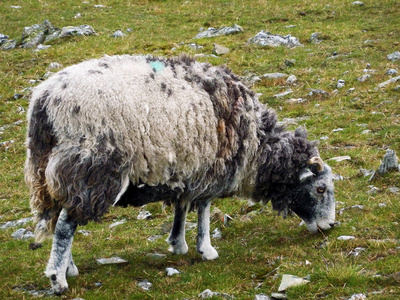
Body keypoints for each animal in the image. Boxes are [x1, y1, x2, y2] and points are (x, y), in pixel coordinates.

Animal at [25, 54, 336, 296]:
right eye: (320, 189)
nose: (331, 226)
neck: (256, 145)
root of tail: (44, 102)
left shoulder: (188, 171)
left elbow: (182, 206)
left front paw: (178, 243)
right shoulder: (210, 171)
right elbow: (204, 209)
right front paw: (206, 249)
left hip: (56, 172)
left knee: (60, 216)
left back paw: (69, 267)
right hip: (92, 167)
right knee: (66, 225)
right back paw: (58, 279)